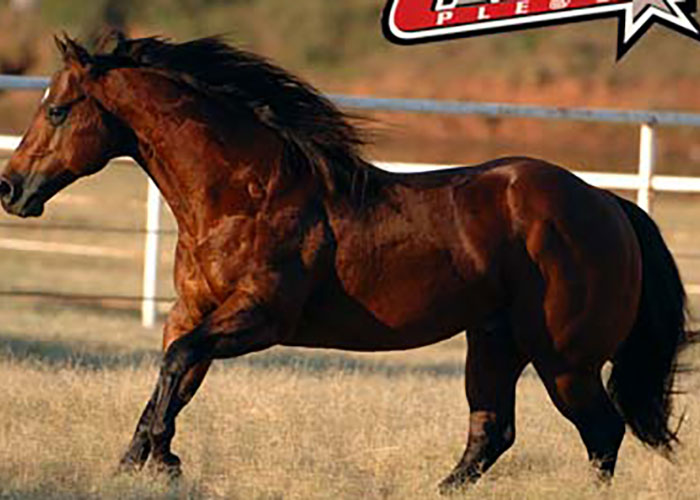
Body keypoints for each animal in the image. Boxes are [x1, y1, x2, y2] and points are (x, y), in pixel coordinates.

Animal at [0, 34, 691, 492]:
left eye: (57, 110)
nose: (11, 188)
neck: (245, 195)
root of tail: (606, 202)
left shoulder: (260, 319)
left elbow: (176, 366)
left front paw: (154, 462)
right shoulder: (192, 312)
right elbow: (175, 375)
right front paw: (148, 459)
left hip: (564, 361)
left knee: (601, 432)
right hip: (494, 343)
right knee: (491, 433)